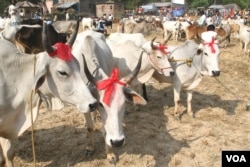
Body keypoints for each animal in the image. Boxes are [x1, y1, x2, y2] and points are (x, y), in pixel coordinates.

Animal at [0, 21, 97, 166]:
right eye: (62, 72)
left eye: (78, 66)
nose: (93, 104)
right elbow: (8, 154)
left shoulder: (10, 125)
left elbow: (9, 153)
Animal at [72, 29, 146, 163]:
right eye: (101, 104)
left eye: (124, 103)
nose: (117, 142)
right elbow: (90, 127)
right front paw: (90, 147)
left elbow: (105, 130)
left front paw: (110, 154)